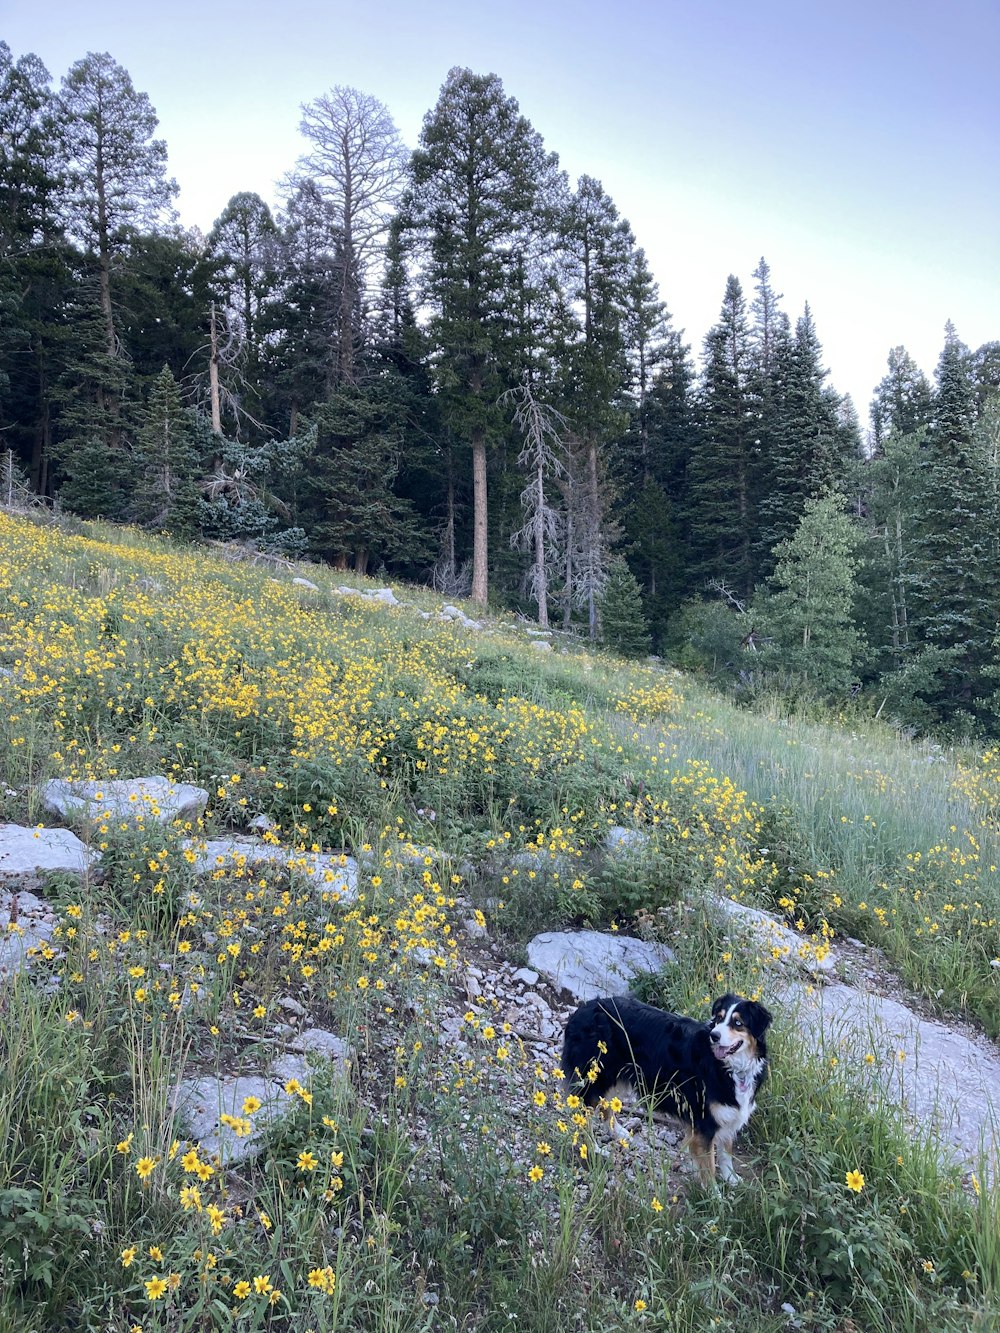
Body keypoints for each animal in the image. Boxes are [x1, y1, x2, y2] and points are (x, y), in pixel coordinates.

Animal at [565, 991, 773, 1189]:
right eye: (719, 1018)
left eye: (738, 1023)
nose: (714, 1036)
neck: (729, 1068)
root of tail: (583, 1009)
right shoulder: (703, 1122)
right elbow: (709, 1167)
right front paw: (715, 1195)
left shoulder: (729, 1112)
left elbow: (725, 1153)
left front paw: (732, 1179)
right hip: (596, 1077)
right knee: (585, 1116)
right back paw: (593, 1148)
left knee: (606, 1104)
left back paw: (619, 1132)